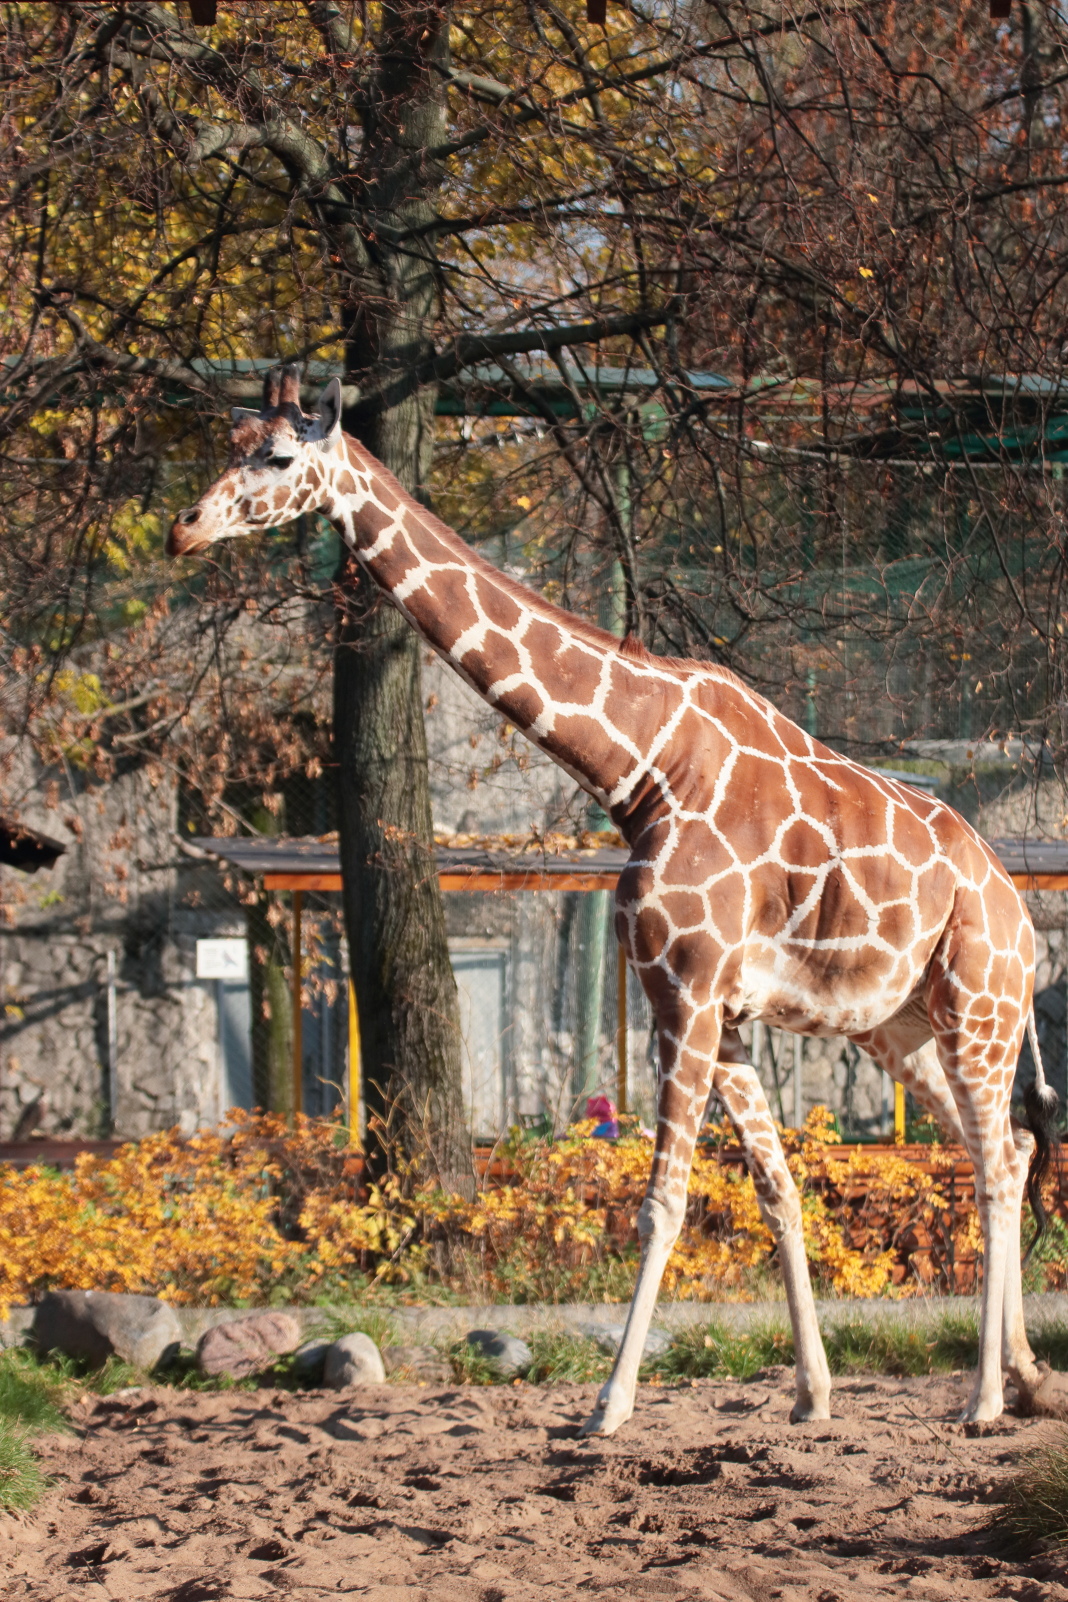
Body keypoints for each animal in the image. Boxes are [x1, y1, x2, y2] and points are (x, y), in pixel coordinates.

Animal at [168, 368, 1063, 1435]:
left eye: (276, 457)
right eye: (227, 437)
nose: (182, 529)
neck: (643, 765)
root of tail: (1020, 913)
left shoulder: (684, 991)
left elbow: (663, 1202)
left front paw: (608, 1404)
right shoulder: (717, 1006)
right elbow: (777, 1189)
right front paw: (811, 1394)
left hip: (979, 1009)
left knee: (998, 1160)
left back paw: (982, 1399)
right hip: (905, 1027)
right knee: (1010, 1146)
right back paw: (1026, 1377)